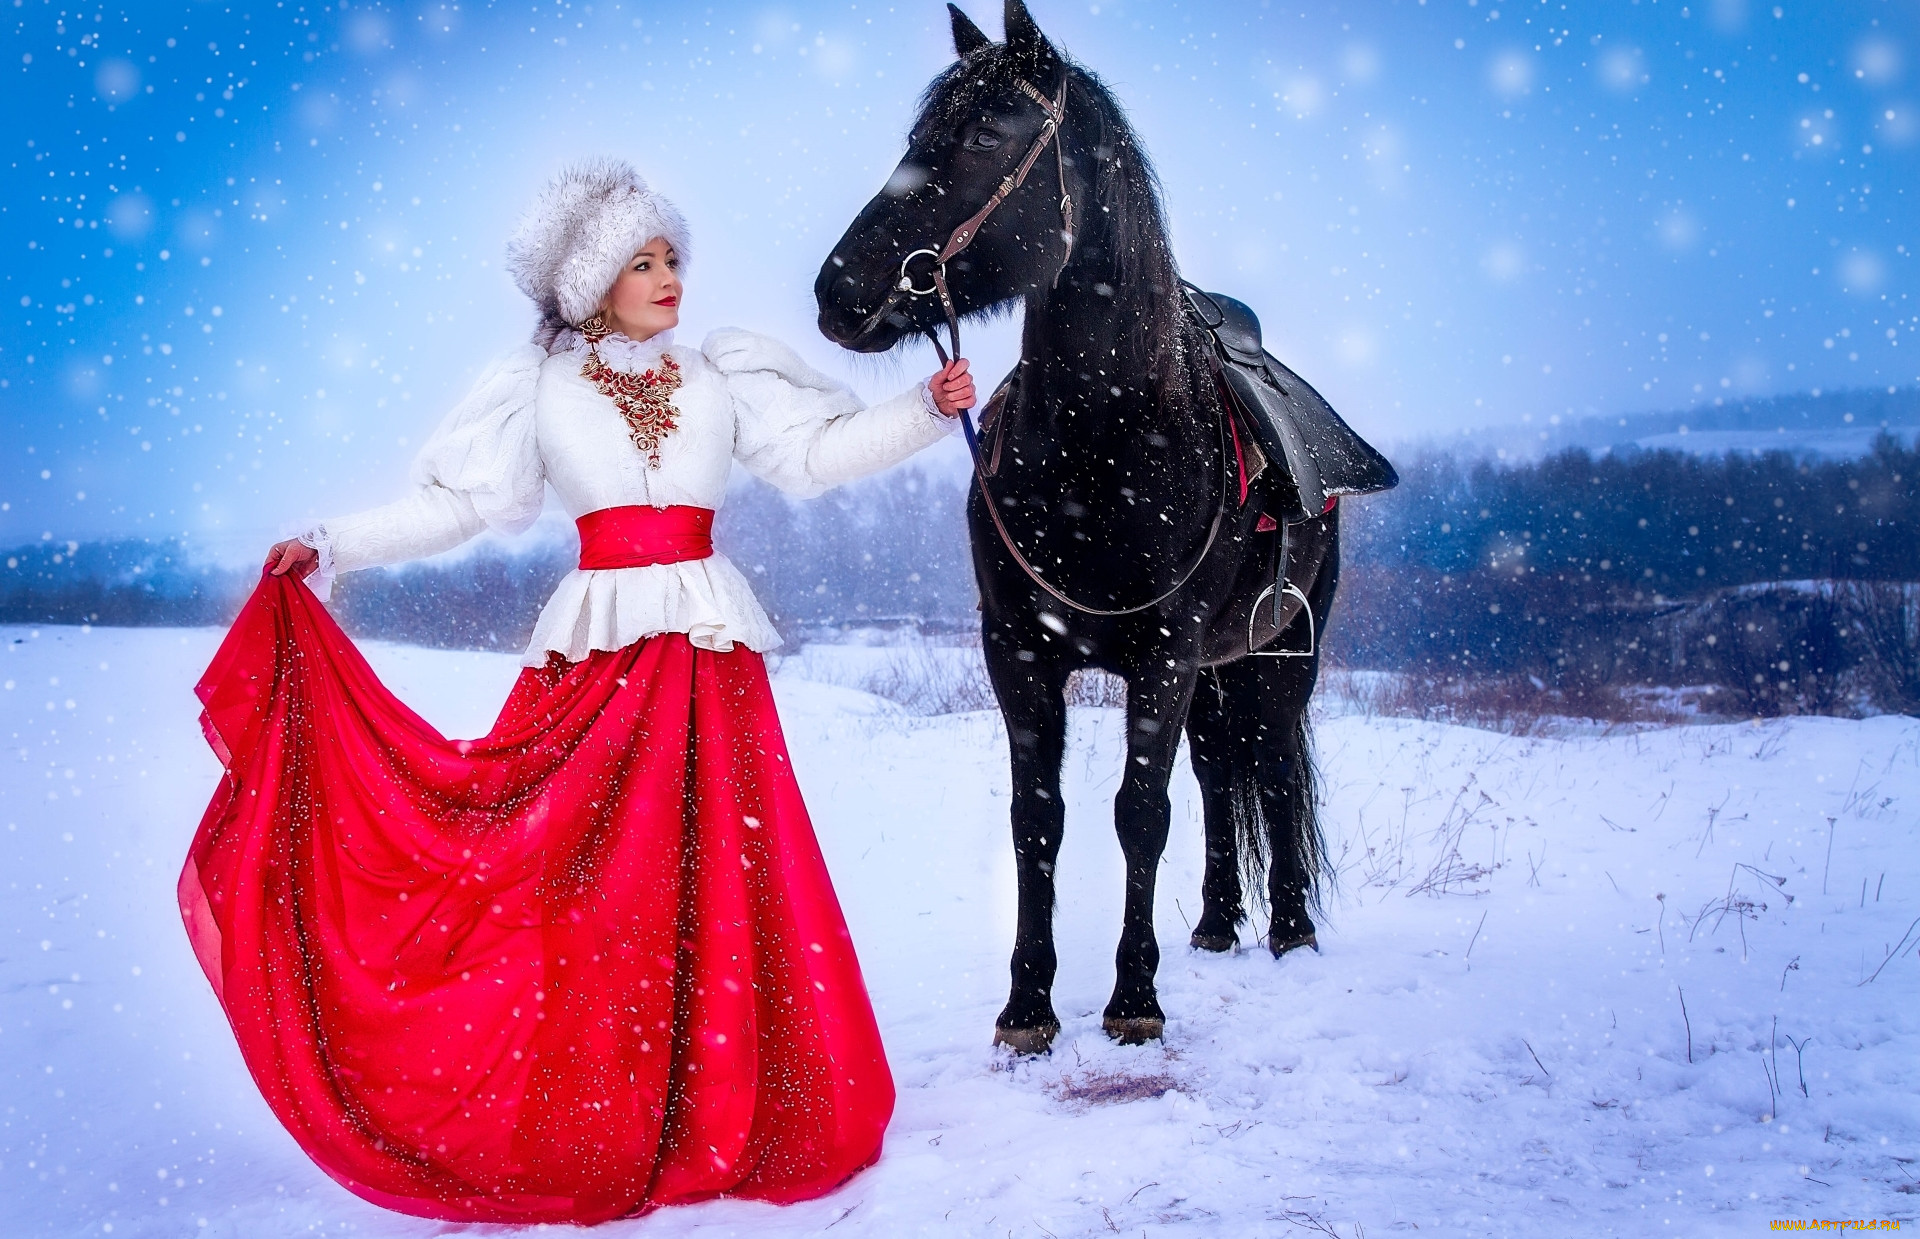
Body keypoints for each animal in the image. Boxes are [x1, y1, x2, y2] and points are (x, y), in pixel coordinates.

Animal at [817, 0, 1359, 1052]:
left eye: (987, 133)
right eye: (917, 134)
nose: (838, 288)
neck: (1101, 444)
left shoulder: (1166, 652)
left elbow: (1139, 812)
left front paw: (1134, 997)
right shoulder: (1020, 653)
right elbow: (1040, 818)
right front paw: (1028, 1004)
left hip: (1280, 655)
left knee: (1272, 763)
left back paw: (1291, 929)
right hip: (1220, 670)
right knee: (1221, 769)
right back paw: (1219, 921)